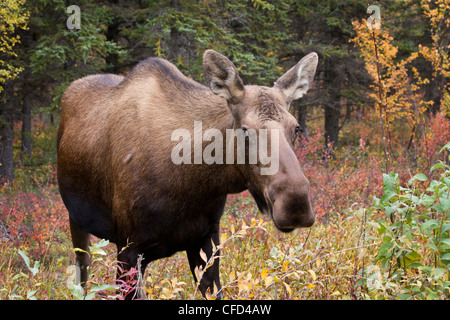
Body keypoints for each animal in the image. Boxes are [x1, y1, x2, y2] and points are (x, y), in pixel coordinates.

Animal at [58, 48, 318, 298]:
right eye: (245, 130)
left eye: (296, 128)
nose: (295, 204)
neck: (192, 182)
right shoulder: (128, 248)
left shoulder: (206, 239)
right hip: (76, 220)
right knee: (82, 272)